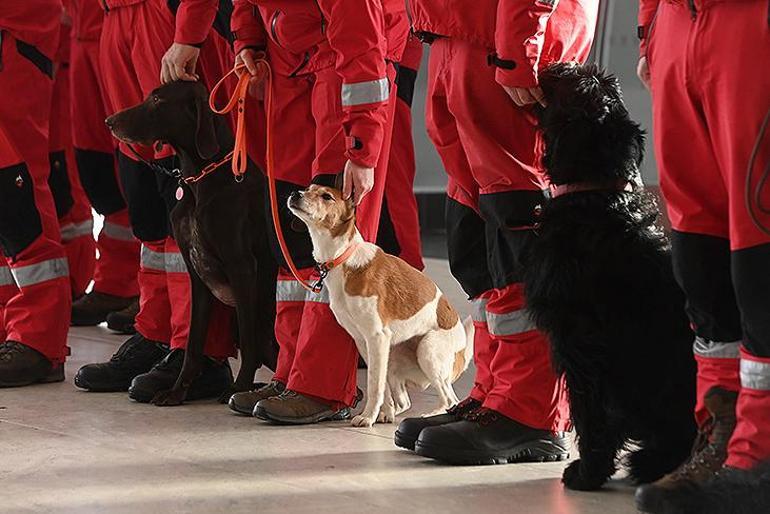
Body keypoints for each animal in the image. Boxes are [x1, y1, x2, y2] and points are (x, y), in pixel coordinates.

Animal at [284, 186, 472, 426]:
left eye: (326, 196)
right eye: (309, 189)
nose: (295, 193)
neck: (343, 257)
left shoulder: (377, 336)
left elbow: (374, 386)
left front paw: (367, 417)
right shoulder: (365, 341)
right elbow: (381, 386)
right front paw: (380, 413)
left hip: (427, 350)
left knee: (450, 400)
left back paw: (428, 416)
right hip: (393, 355)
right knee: (404, 401)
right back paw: (392, 414)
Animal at [520, 64, 696, 488]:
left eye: (577, 86)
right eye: (602, 83)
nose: (563, 64)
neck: (595, 195)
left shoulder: (580, 342)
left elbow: (590, 412)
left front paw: (588, 472)